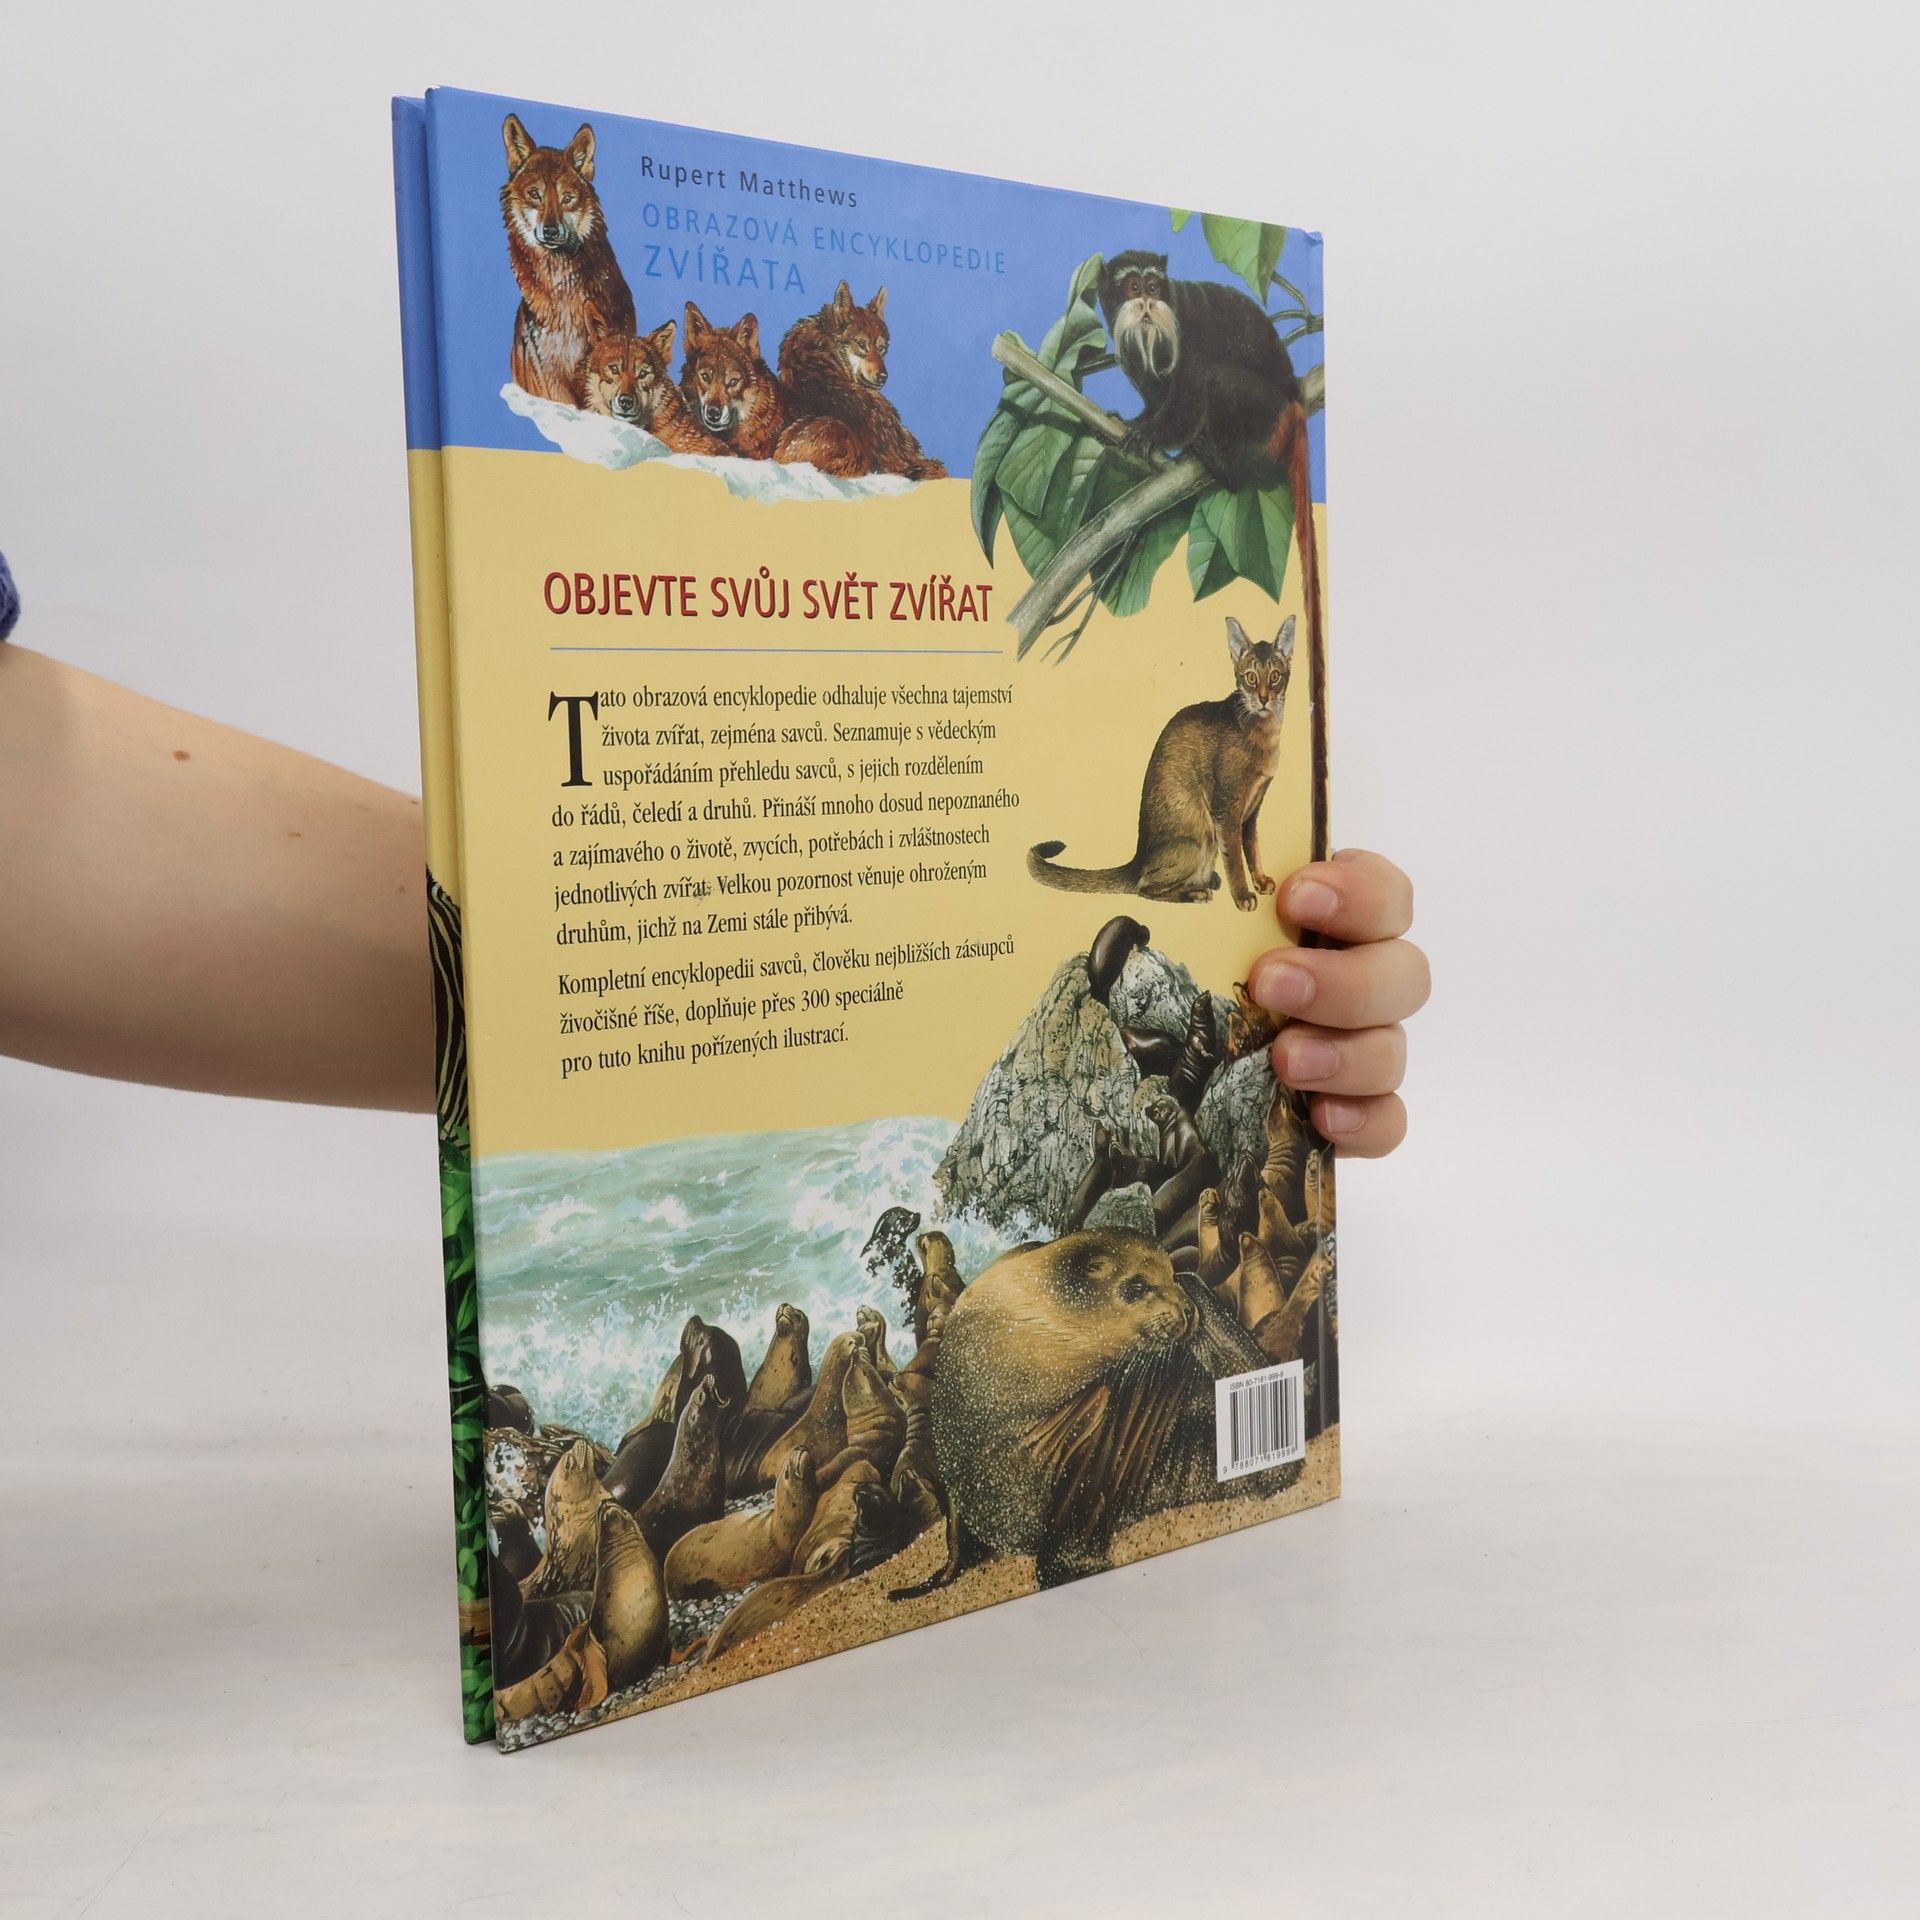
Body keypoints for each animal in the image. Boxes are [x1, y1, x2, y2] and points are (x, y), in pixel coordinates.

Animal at [1028, 615, 1294, 909]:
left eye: (1275, 676)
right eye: (1250, 677)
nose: (1263, 699)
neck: (1264, 734)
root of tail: (1137, 860)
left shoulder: (1252, 808)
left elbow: (1252, 847)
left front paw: (1261, 881)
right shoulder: (1226, 809)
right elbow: (1234, 858)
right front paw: (1243, 896)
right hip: (1199, 837)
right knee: (1145, 886)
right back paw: (1197, 892)